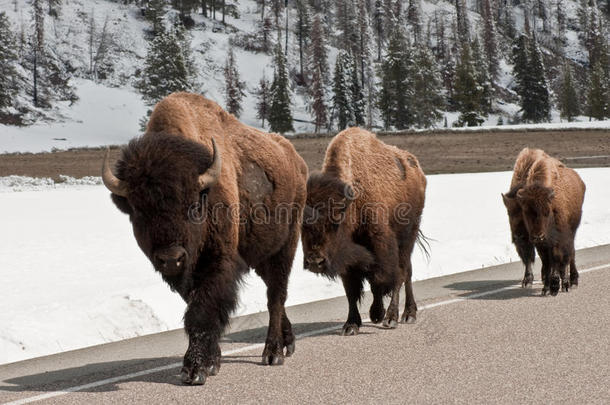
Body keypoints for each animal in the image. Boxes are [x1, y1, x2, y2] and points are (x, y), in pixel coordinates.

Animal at [102, 92, 308, 386]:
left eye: (192, 205)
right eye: (139, 211)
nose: (171, 258)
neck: (206, 193)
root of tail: (296, 161)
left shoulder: (217, 262)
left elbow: (202, 310)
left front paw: (195, 369)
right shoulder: (187, 274)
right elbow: (197, 306)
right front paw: (212, 361)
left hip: (285, 246)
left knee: (276, 296)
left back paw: (273, 353)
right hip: (260, 256)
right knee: (274, 293)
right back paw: (287, 343)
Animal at [300, 128, 426, 332]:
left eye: (335, 221)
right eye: (301, 225)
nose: (314, 261)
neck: (354, 203)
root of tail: (418, 170)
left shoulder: (381, 246)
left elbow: (380, 280)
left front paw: (377, 314)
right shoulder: (346, 260)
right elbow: (351, 290)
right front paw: (351, 325)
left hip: (408, 238)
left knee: (403, 273)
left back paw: (400, 316)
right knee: (405, 272)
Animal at [498, 147, 584, 296]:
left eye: (547, 212)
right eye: (509, 212)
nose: (518, 236)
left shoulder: (557, 239)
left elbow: (557, 258)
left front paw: (555, 285)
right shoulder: (537, 243)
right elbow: (536, 259)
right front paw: (534, 283)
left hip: (571, 232)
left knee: (570, 255)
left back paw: (571, 282)